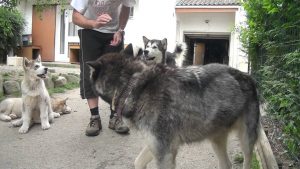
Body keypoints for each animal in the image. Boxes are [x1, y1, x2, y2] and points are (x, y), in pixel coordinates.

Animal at [86, 44, 260, 169]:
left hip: (246, 141)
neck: (131, 84)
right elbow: (138, 162)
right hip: (216, 139)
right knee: (227, 164)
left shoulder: (165, 153)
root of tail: (248, 77)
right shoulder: (156, 145)